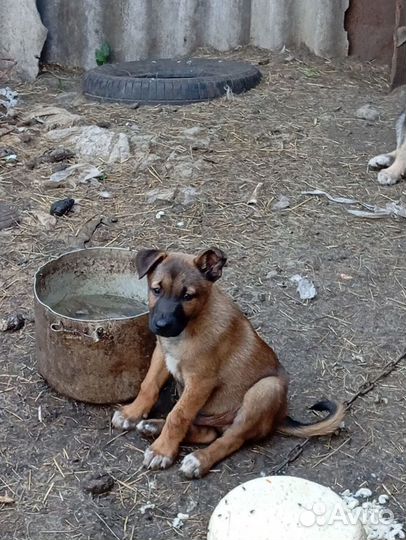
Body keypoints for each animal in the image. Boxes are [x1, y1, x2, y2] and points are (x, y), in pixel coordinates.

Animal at [112, 247, 346, 478]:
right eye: (156, 290)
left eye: (188, 296)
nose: (162, 325)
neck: (188, 329)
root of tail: (281, 415)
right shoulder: (162, 353)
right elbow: (148, 385)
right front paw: (131, 413)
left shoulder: (200, 381)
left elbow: (178, 415)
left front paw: (161, 451)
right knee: (208, 433)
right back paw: (152, 425)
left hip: (265, 390)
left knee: (230, 439)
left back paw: (198, 460)